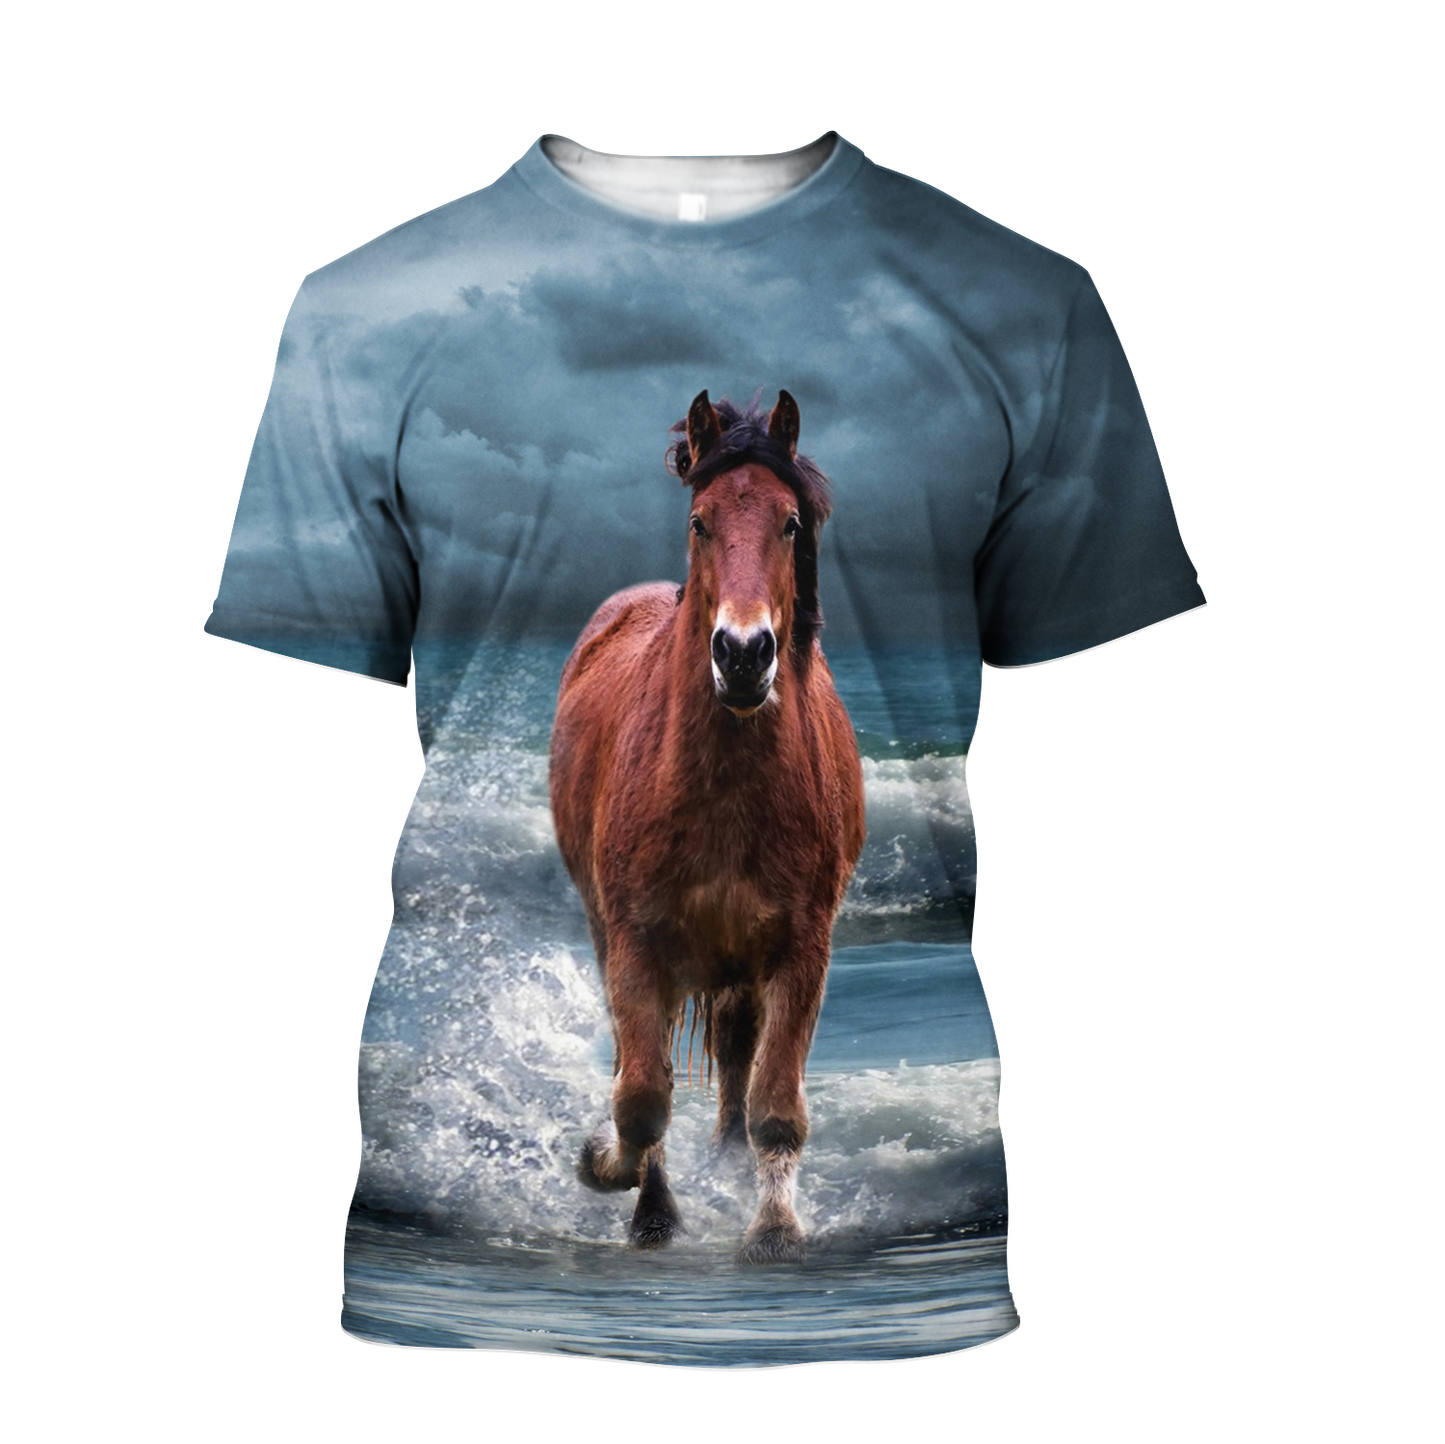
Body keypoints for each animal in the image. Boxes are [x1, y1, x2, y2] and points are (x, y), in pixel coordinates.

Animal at [549, 389, 865, 1264]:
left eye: (788, 523)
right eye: (700, 521)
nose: (744, 653)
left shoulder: (800, 951)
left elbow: (774, 1104)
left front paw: (774, 1228)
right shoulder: (635, 946)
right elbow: (640, 1098)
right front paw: (614, 1176)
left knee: (735, 1062)